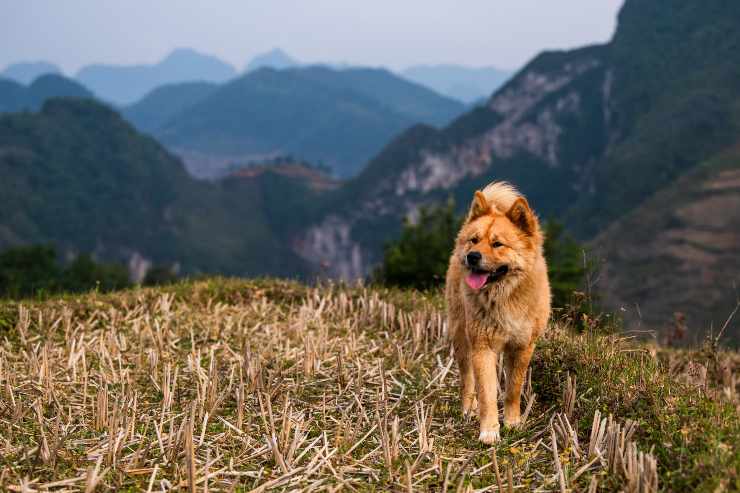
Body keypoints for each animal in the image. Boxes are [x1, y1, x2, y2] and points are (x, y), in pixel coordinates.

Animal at [446, 181, 548, 442]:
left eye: (497, 244)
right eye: (474, 240)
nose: (472, 256)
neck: (502, 298)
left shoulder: (522, 346)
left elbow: (513, 389)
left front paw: (512, 422)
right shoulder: (483, 347)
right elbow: (487, 393)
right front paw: (489, 431)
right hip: (461, 336)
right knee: (467, 379)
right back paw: (467, 409)